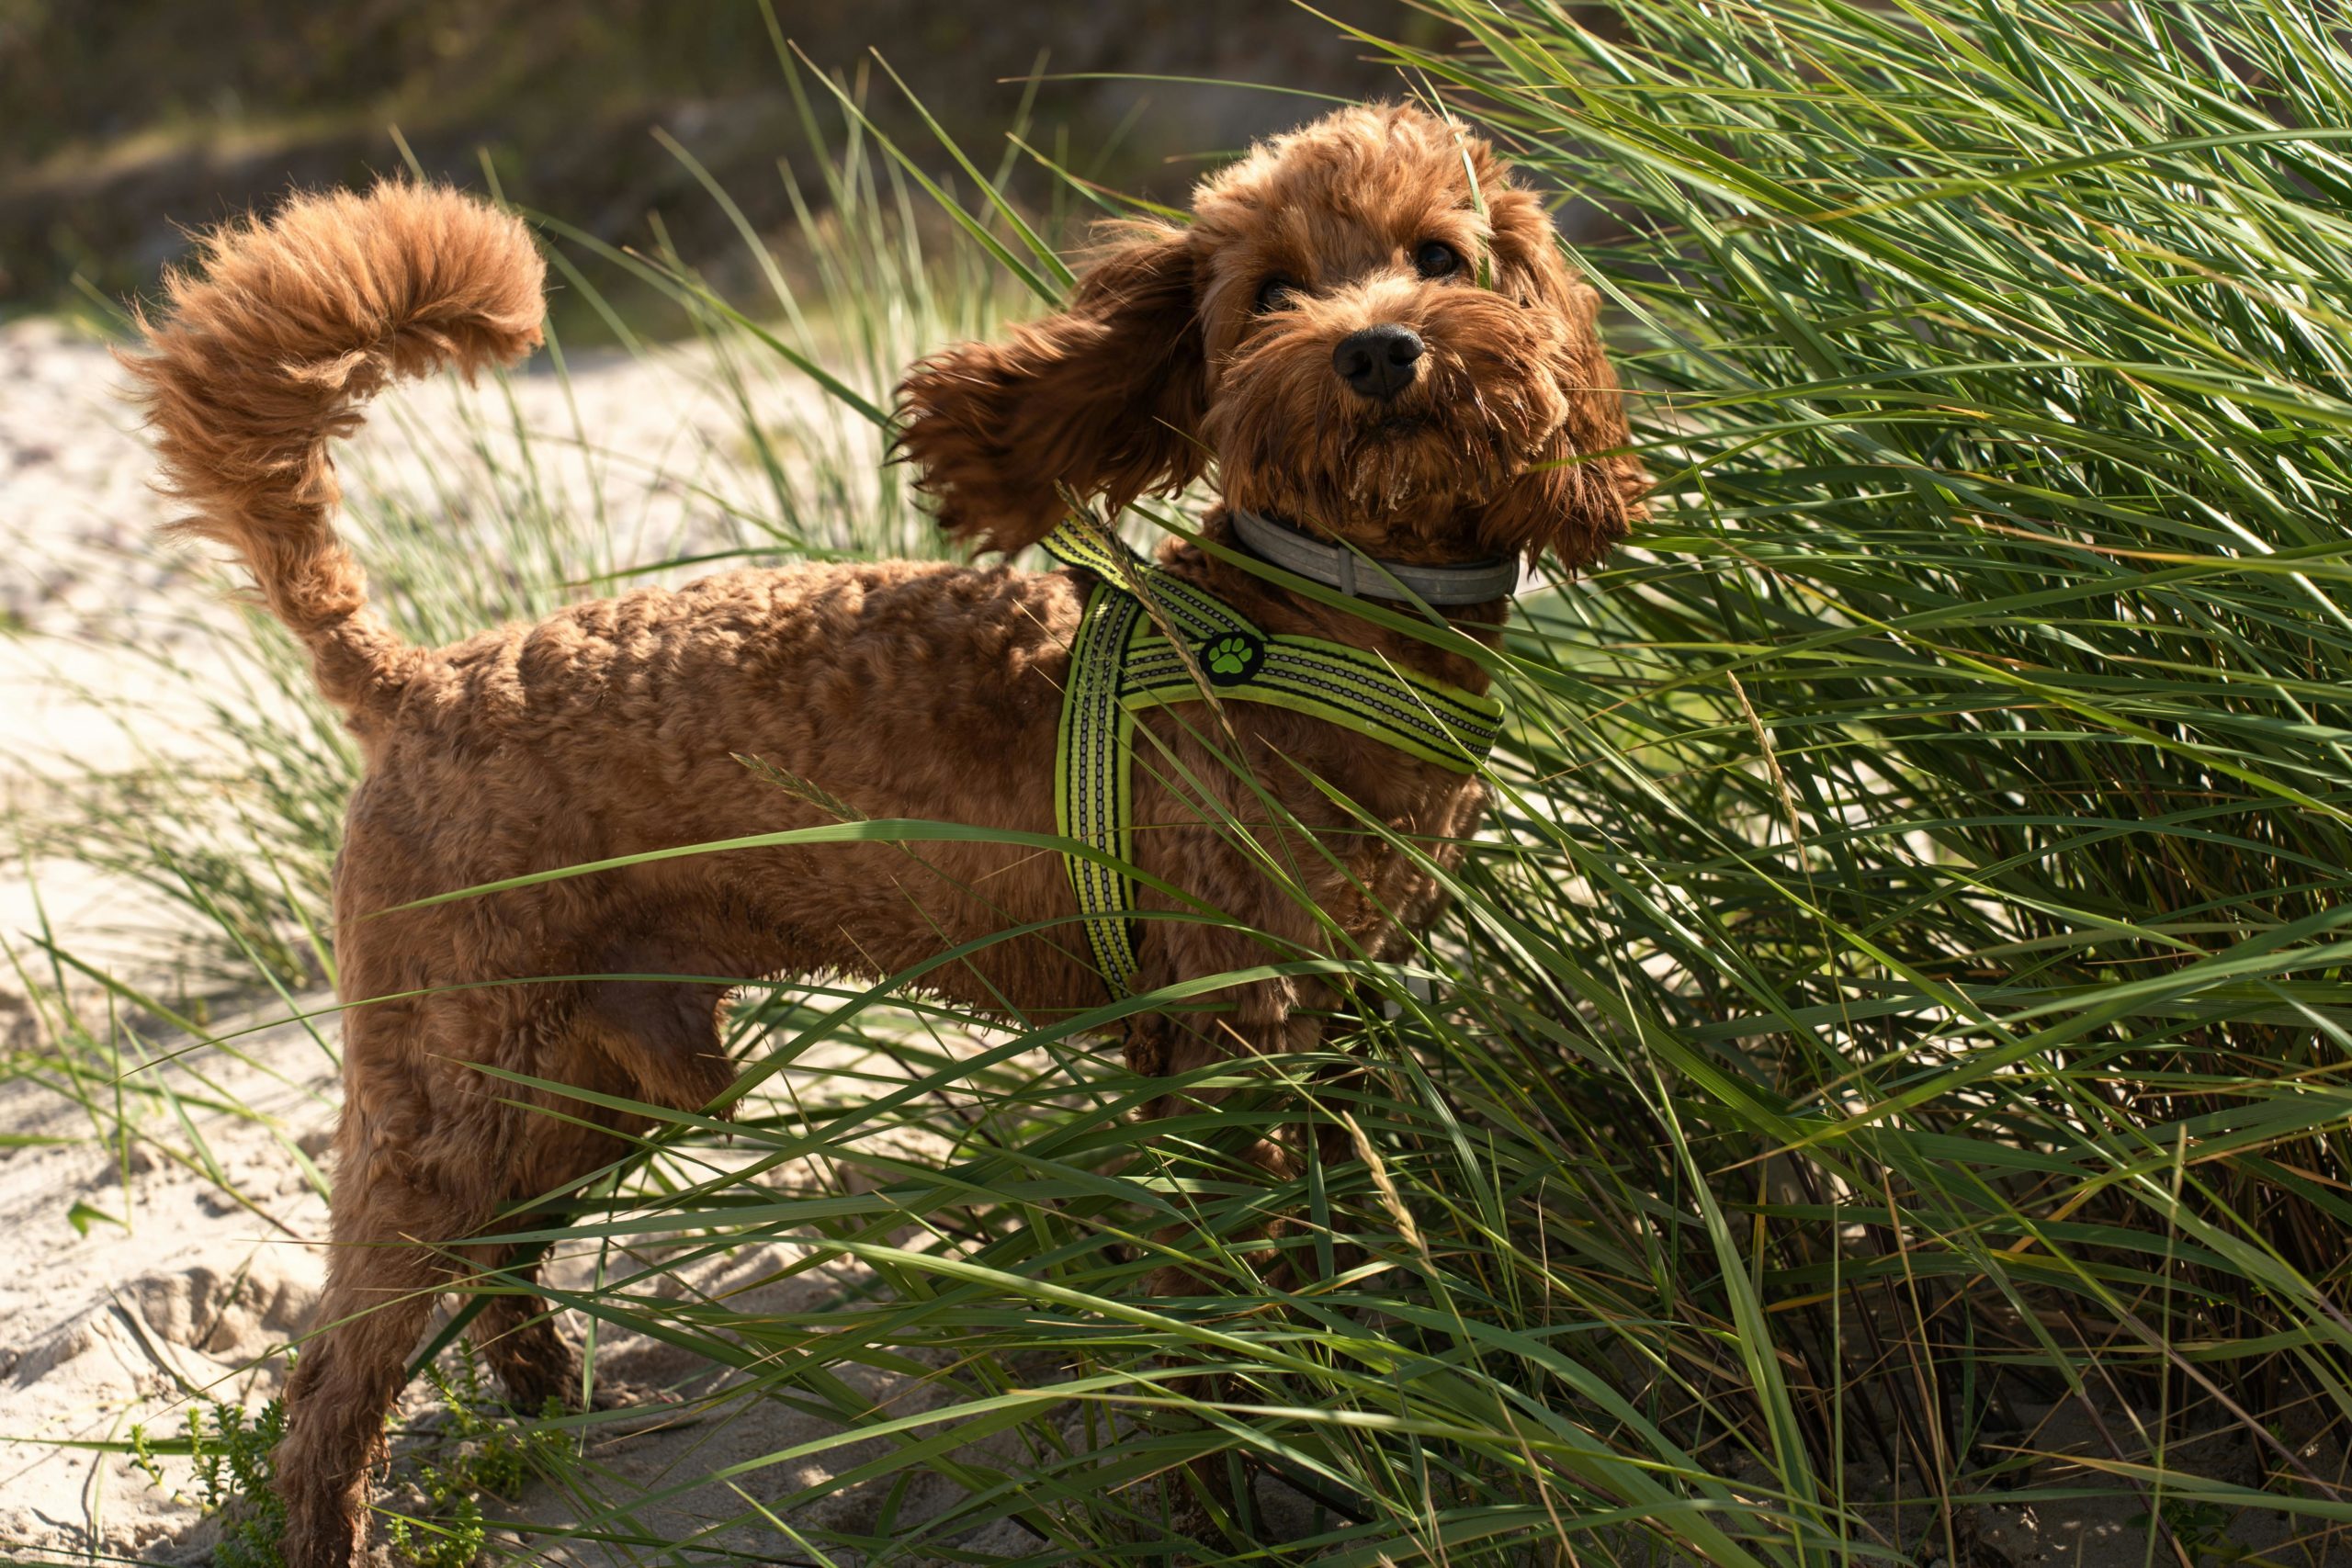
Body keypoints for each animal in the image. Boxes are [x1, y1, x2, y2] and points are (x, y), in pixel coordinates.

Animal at [129, 104, 1636, 1561]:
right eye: (1269, 291)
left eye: (1440, 255)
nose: (1379, 350)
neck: (1331, 609)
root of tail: (419, 678)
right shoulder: (1224, 1036)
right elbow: (1215, 1303)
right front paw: (1233, 1491)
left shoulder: (1342, 1003)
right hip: (450, 1080)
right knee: (332, 1377)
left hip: (599, 1070)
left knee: (496, 1257)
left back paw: (555, 1406)